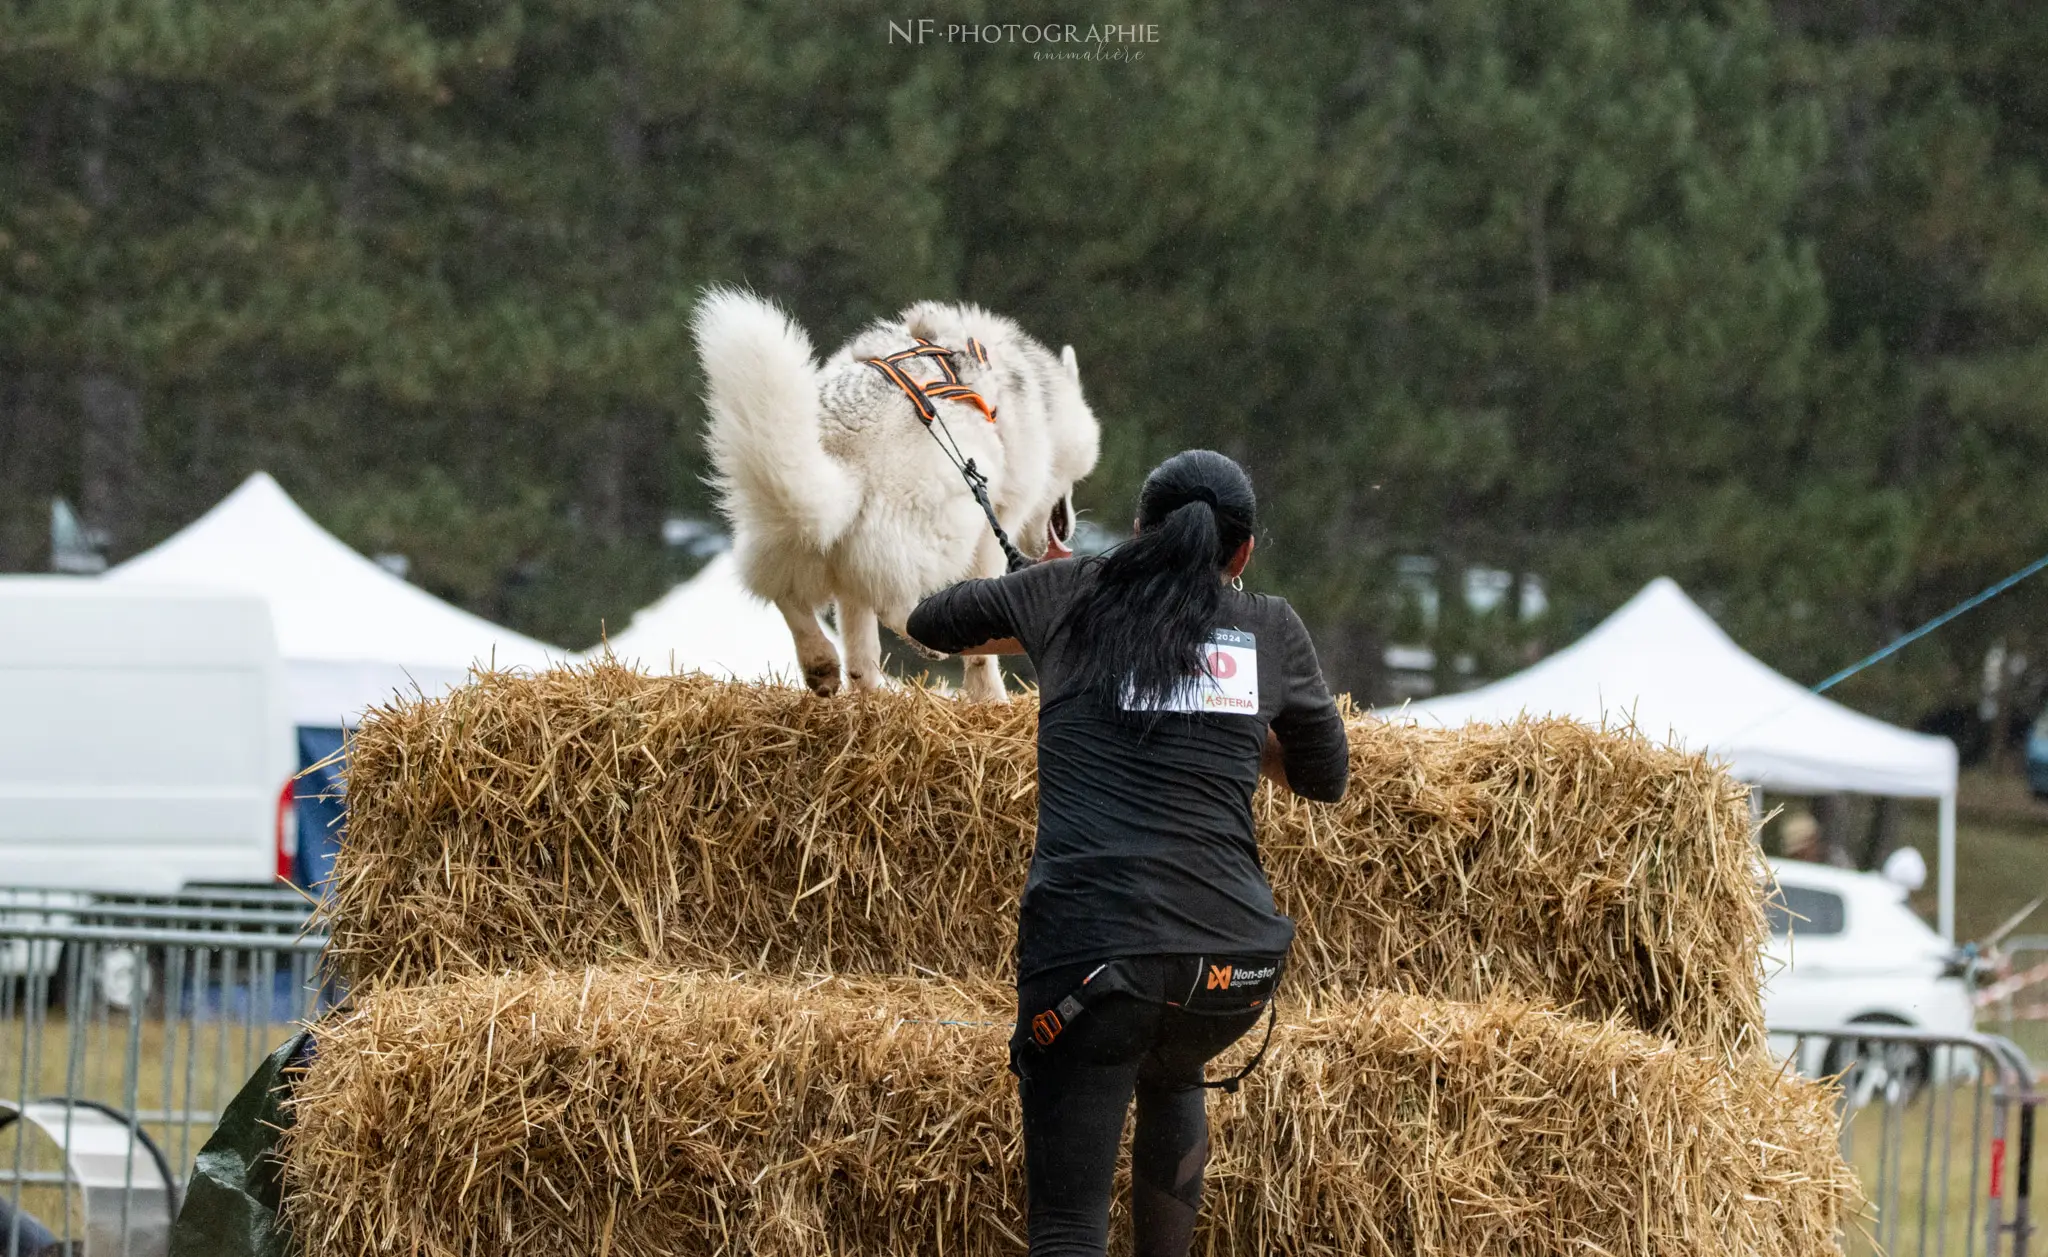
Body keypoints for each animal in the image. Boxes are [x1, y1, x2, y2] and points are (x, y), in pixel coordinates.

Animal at [692, 288, 1105, 704]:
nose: (1069, 530)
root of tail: (840, 449)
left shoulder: (849, 584)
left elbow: (860, 649)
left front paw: (868, 698)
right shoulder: (995, 529)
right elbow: (983, 644)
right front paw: (990, 699)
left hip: (793, 534)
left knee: (790, 599)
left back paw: (820, 662)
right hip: (947, 532)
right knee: (896, 608)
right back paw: (927, 638)